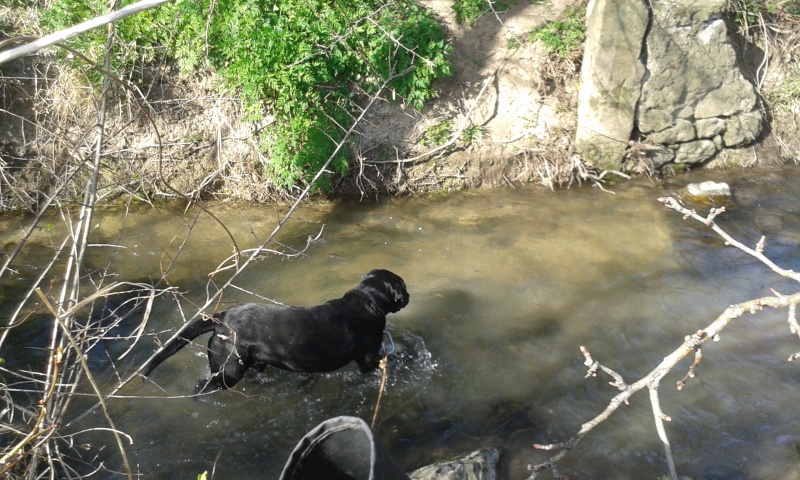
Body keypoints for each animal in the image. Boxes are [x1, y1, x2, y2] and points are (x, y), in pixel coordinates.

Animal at [140, 268, 410, 392]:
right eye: (404, 288)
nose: (408, 296)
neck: (370, 300)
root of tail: (222, 317)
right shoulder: (369, 358)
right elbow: (388, 360)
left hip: (249, 363)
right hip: (229, 370)